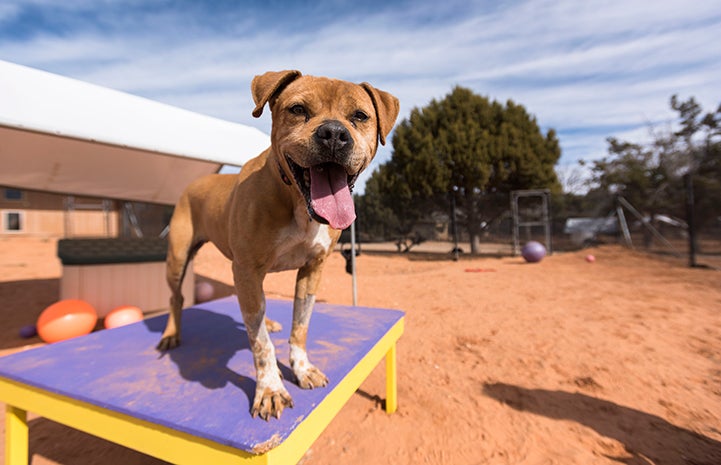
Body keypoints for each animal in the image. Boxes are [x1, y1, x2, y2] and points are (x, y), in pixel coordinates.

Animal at [157, 70, 400, 420]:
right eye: (298, 109)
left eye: (359, 116)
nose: (334, 133)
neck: (297, 203)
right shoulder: (246, 269)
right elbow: (260, 344)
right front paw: (270, 389)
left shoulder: (312, 269)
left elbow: (299, 326)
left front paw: (301, 369)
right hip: (178, 260)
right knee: (177, 299)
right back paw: (171, 334)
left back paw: (268, 321)